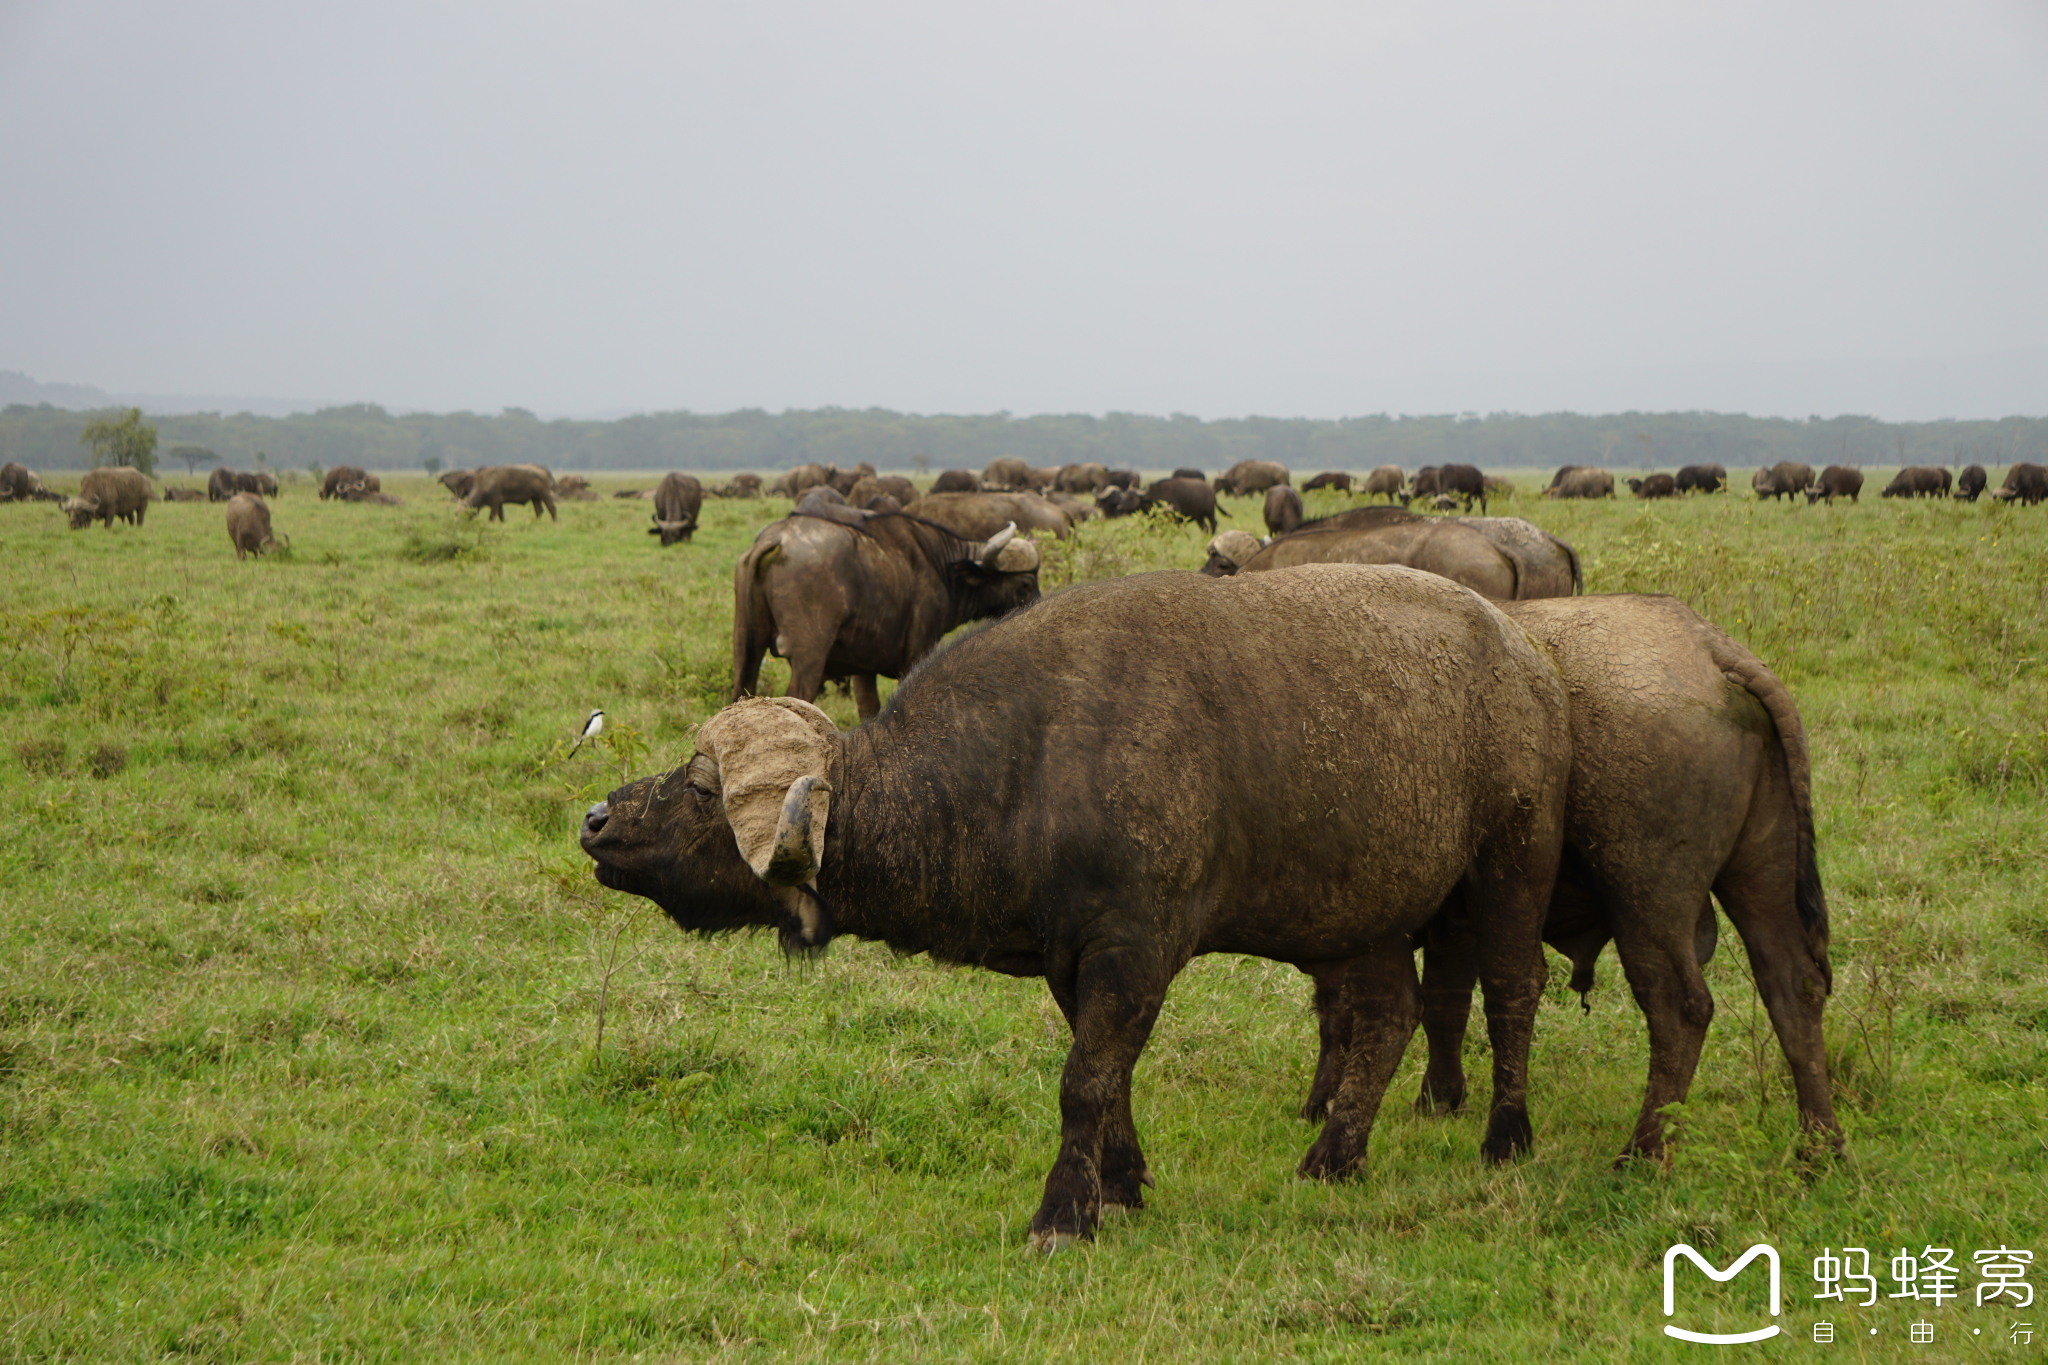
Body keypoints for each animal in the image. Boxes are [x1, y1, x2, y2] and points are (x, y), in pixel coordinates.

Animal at [585, 564, 1572, 1252]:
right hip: (1355, 914)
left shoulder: (1135, 950)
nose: (597, 820)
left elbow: (1083, 1080)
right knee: (1389, 1013)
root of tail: (1529, 662)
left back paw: (1507, 1137)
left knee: (1511, 992)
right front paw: (1122, 1184)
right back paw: (1335, 1155)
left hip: (1510, 867)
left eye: (701, 787)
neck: (1031, 761)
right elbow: (1112, 1078)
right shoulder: (1073, 959)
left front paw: (1063, 1212)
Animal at [733, 515, 1048, 724]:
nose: (1038, 608)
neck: (940, 566)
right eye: (1026, 583)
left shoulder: (862, 670)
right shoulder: (917, 652)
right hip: (808, 659)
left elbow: (868, 710)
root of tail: (779, 538)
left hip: (747, 650)